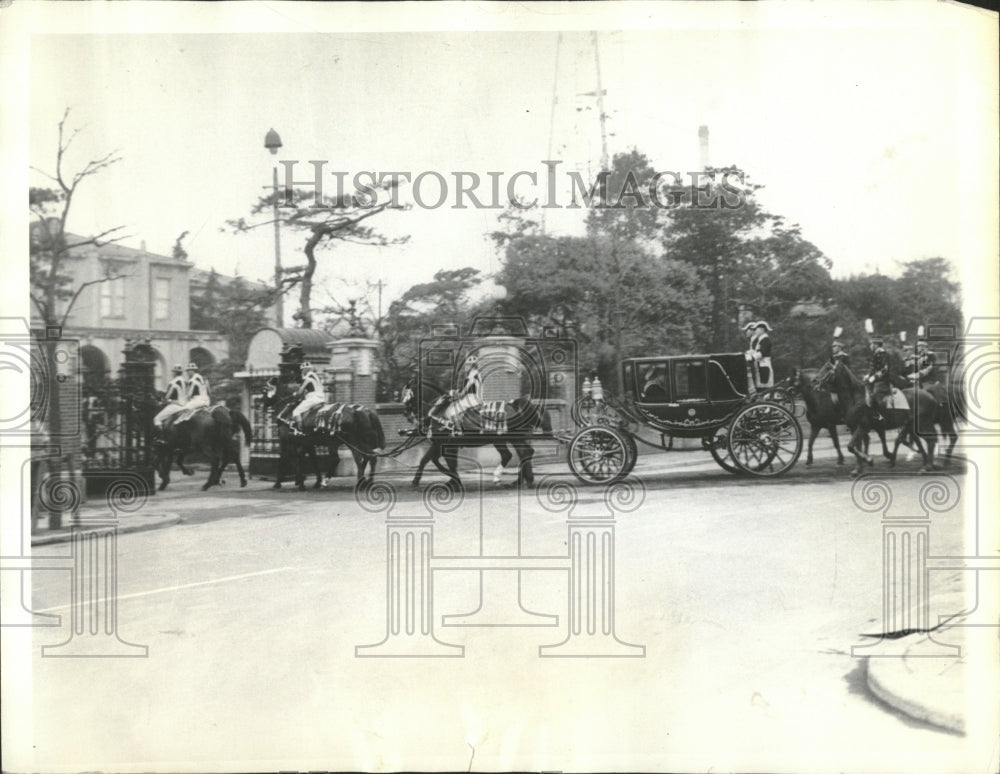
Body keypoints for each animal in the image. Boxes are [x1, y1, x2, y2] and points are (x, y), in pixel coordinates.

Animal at [400, 384, 556, 492]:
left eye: (407, 399)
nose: (407, 415)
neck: (441, 411)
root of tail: (516, 405)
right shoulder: (439, 444)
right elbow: (426, 459)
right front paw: (417, 480)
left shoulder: (449, 445)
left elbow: (450, 463)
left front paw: (455, 482)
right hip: (503, 440)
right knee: (519, 454)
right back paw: (520, 480)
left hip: (513, 438)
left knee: (522, 453)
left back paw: (514, 479)